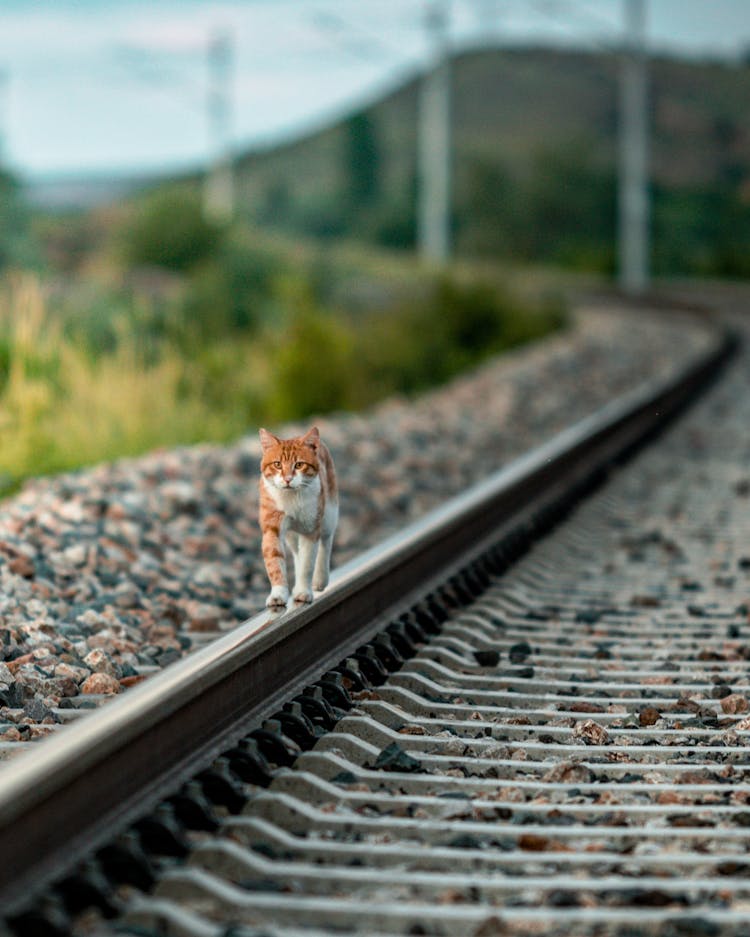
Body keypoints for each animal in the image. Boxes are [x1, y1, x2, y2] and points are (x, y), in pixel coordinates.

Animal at [260, 428, 340, 612]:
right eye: (277, 464)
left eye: (299, 465)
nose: (287, 479)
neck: (291, 498)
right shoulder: (272, 529)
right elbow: (274, 562)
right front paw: (278, 594)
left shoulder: (310, 531)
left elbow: (307, 564)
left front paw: (304, 592)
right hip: (291, 535)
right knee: (296, 553)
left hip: (329, 514)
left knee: (326, 542)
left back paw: (320, 580)